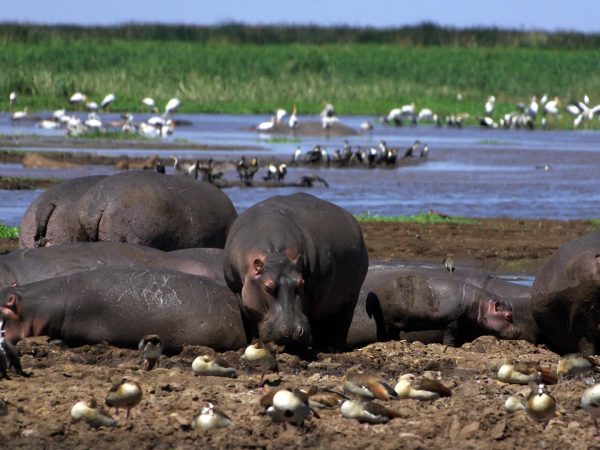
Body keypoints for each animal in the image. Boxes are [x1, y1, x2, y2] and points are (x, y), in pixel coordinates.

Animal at [223, 192, 368, 350]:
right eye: (267, 286)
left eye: (301, 282)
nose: (292, 331)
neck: (275, 255)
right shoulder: (237, 290)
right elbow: (248, 316)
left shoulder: (312, 289)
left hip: (352, 297)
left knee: (342, 322)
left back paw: (333, 347)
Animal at [350, 268, 516, 348]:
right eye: (508, 316)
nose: (519, 331)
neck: (480, 304)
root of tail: (373, 294)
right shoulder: (453, 321)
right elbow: (451, 336)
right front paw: (451, 346)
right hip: (385, 320)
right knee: (384, 333)